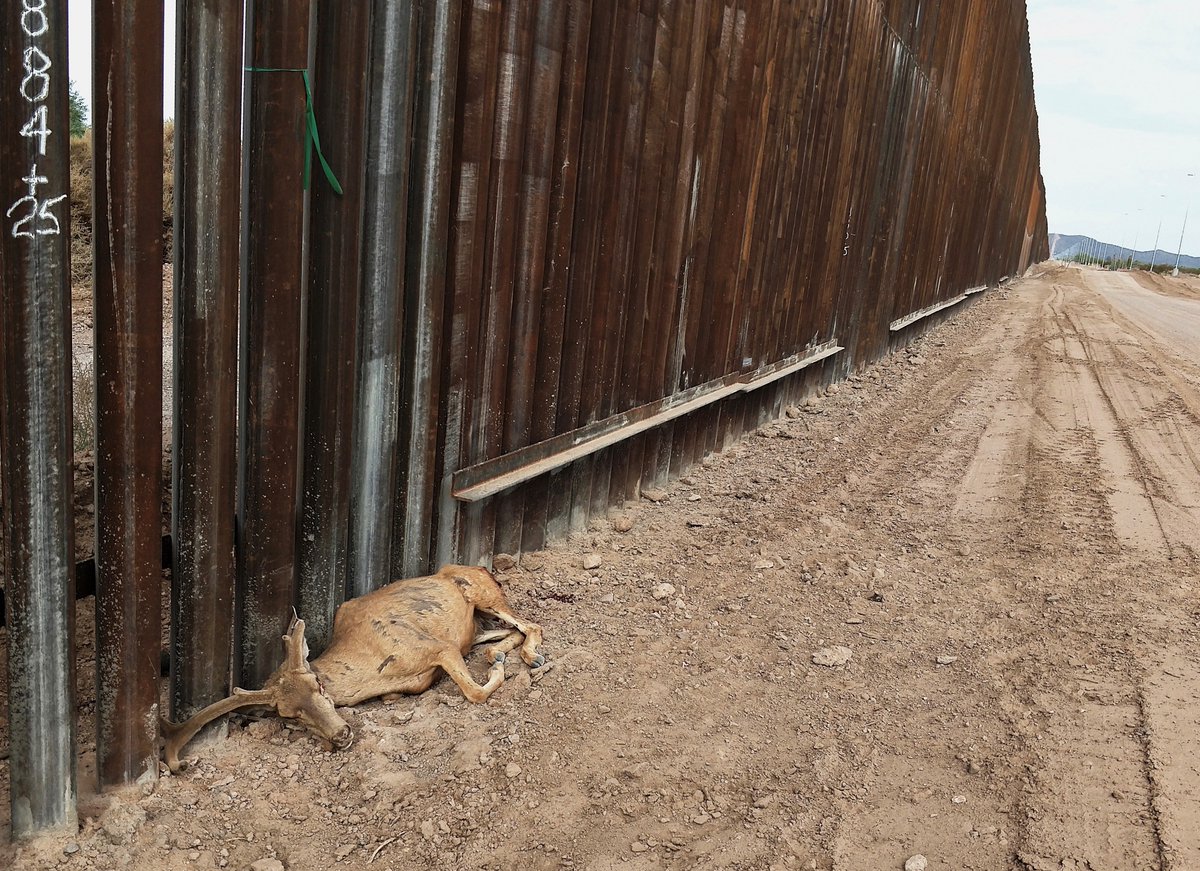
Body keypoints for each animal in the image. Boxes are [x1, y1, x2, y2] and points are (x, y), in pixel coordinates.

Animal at [162, 568, 547, 772]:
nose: (341, 734)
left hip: (484, 595)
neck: (375, 671)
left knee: (532, 623)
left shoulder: (438, 647)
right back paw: (503, 655)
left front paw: (498, 673)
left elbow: (474, 692)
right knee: (509, 632)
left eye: (318, 686)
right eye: (289, 715)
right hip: (479, 623)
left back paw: (528, 659)